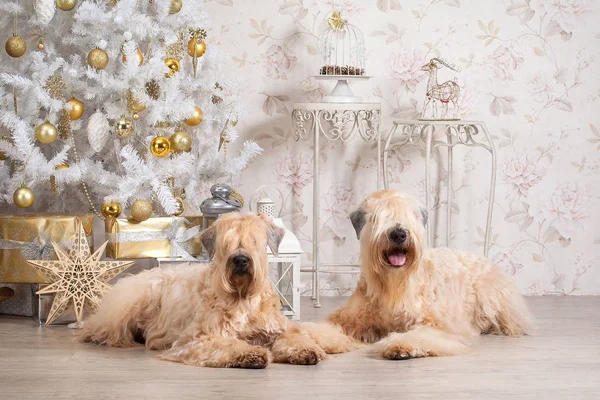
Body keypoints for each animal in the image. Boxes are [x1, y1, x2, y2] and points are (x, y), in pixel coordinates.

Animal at [77, 212, 354, 368]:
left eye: (255, 241)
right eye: (226, 243)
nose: (240, 260)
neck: (243, 299)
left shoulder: (279, 329)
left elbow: (297, 335)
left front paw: (307, 350)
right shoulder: (199, 338)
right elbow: (228, 344)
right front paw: (251, 354)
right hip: (132, 302)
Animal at [328, 189, 536, 360]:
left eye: (410, 216)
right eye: (378, 217)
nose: (399, 234)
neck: (393, 287)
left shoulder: (440, 324)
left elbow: (420, 335)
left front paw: (400, 346)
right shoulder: (348, 320)